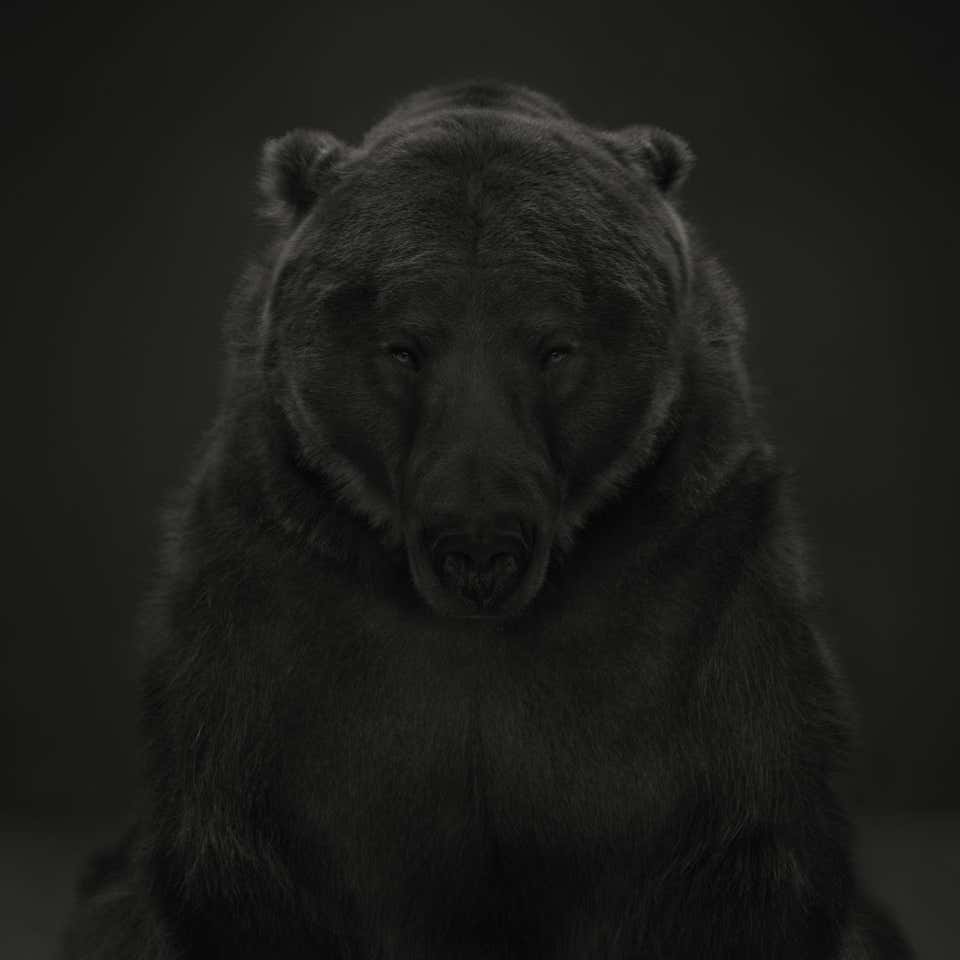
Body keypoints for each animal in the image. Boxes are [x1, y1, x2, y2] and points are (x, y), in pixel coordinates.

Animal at [62, 80, 912, 959]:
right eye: (403, 346)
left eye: (556, 346)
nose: (478, 550)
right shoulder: (280, 614)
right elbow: (250, 865)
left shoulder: (690, 594)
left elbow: (737, 851)